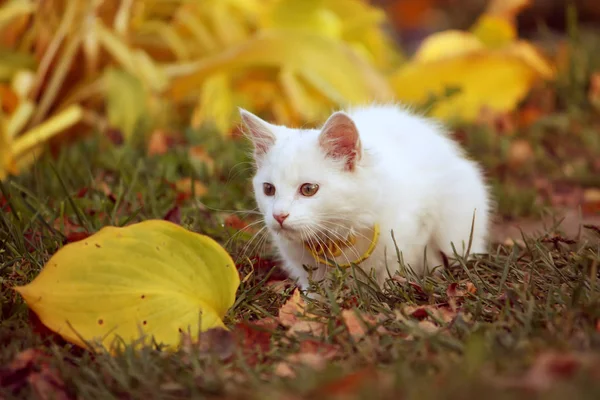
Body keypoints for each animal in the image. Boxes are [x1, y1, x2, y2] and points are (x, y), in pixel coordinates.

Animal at [240, 103, 492, 290]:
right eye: (268, 189)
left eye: (308, 189)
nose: (279, 216)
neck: (337, 235)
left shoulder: (412, 232)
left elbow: (393, 269)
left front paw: (386, 294)